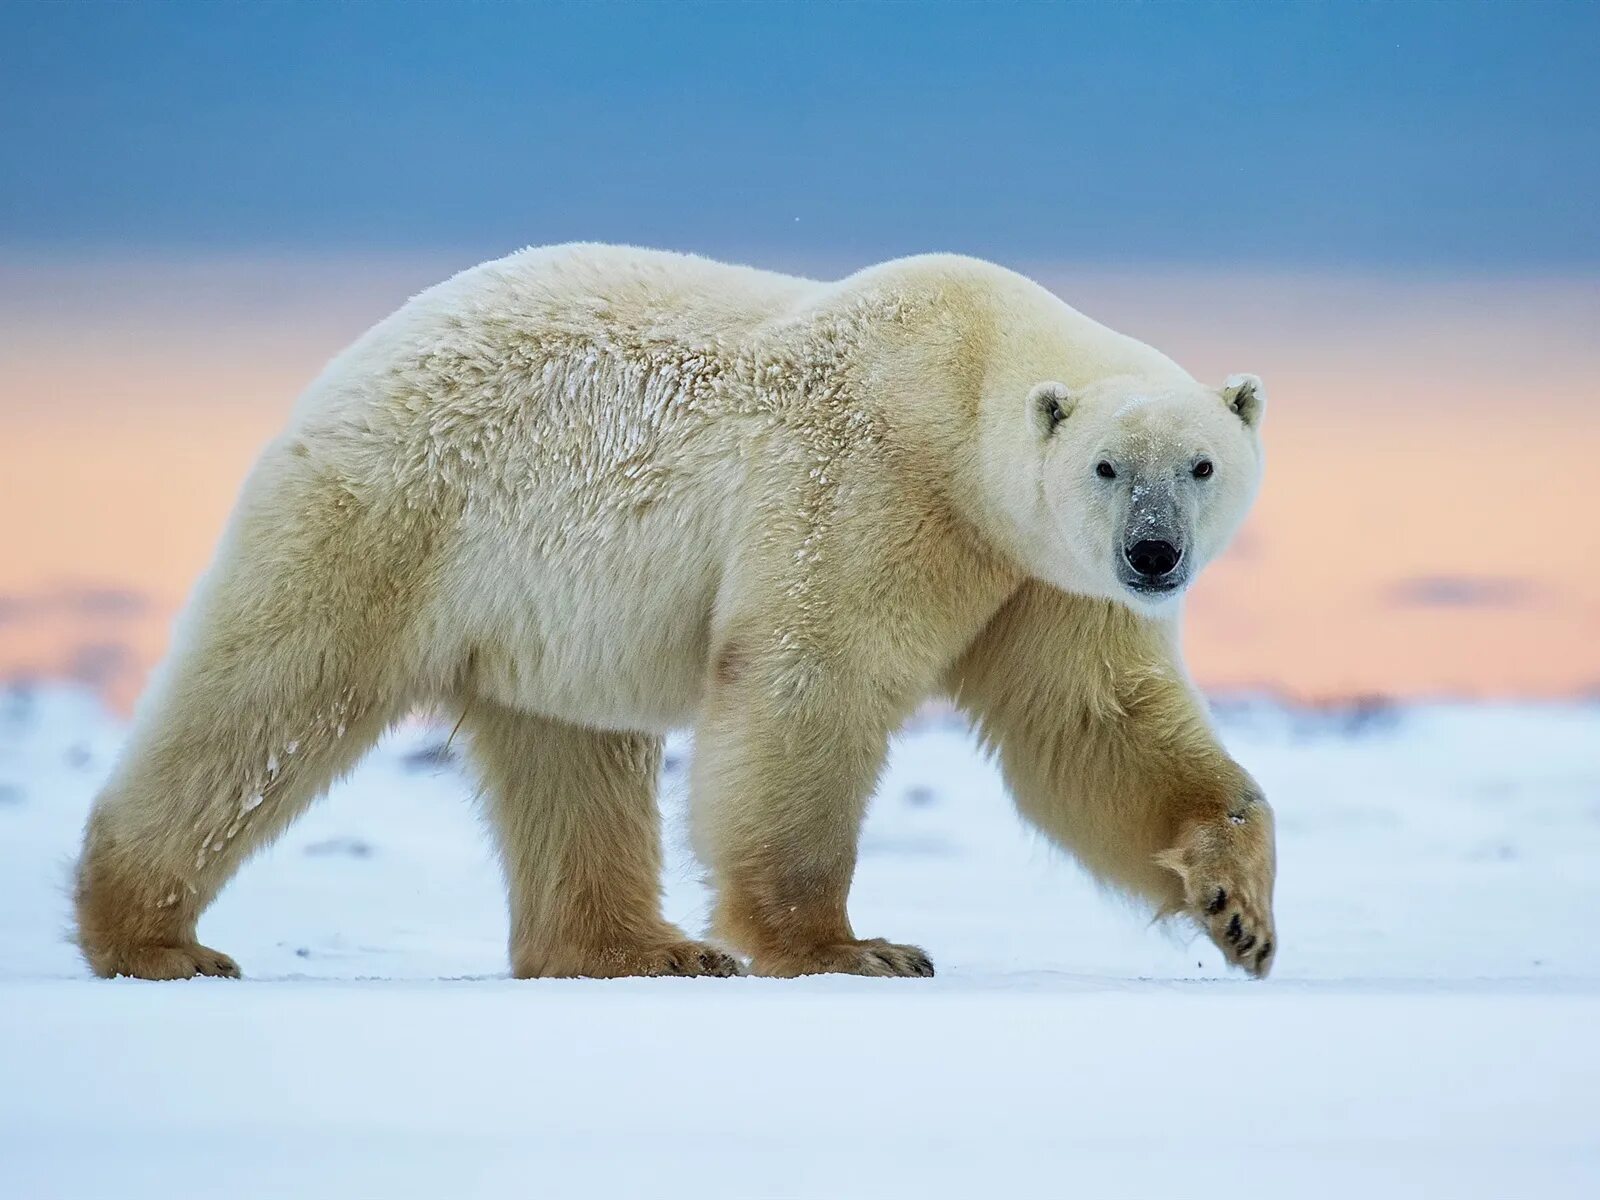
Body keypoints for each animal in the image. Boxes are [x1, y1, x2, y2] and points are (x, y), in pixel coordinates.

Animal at [72, 246, 1273, 985]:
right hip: (397, 513)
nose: (1153, 554)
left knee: (572, 757)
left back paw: (634, 948)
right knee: (269, 700)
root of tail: (351, 362)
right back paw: (155, 938)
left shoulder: (1039, 579)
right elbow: (809, 682)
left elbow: (1090, 723)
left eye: (1201, 464)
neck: (963, 378)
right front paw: (855, 948)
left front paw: (1238, 910)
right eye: (1109, 466)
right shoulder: (873, 483)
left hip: (544, 612)